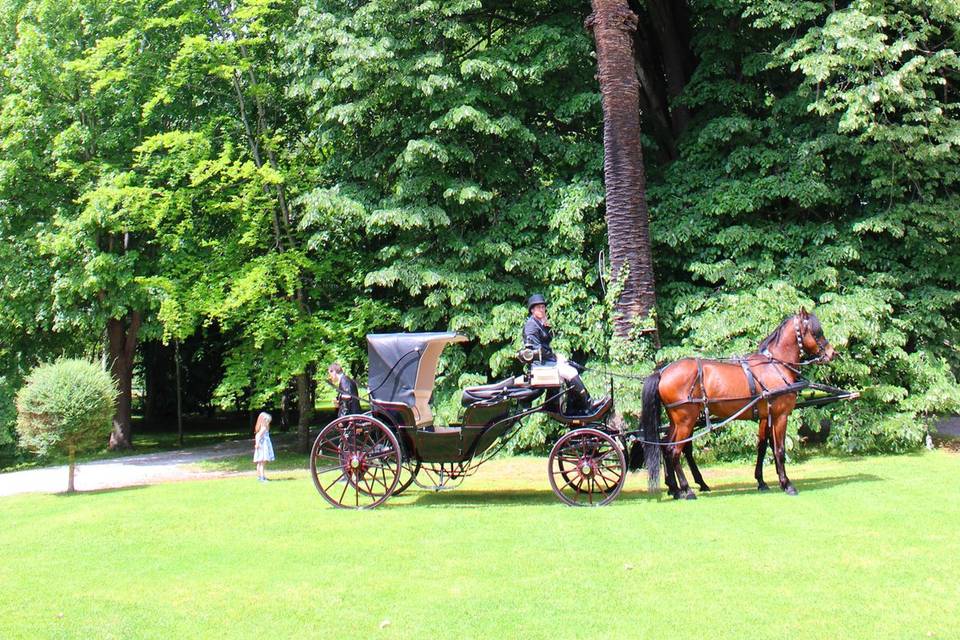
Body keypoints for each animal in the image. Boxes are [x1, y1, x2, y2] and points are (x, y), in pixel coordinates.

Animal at [640, 308, 836, 498]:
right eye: (816, 332)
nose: (832, 353)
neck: (774, 366)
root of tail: (662, 373)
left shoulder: (765, 416)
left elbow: (763, 447)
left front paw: (761, 481)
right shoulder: (780, 415)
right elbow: (779, 449)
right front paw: (786, 484)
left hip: (677, 421)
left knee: (667, 449)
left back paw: (675, 489)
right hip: (686, 420)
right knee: (674, 451)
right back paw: (687, 490)